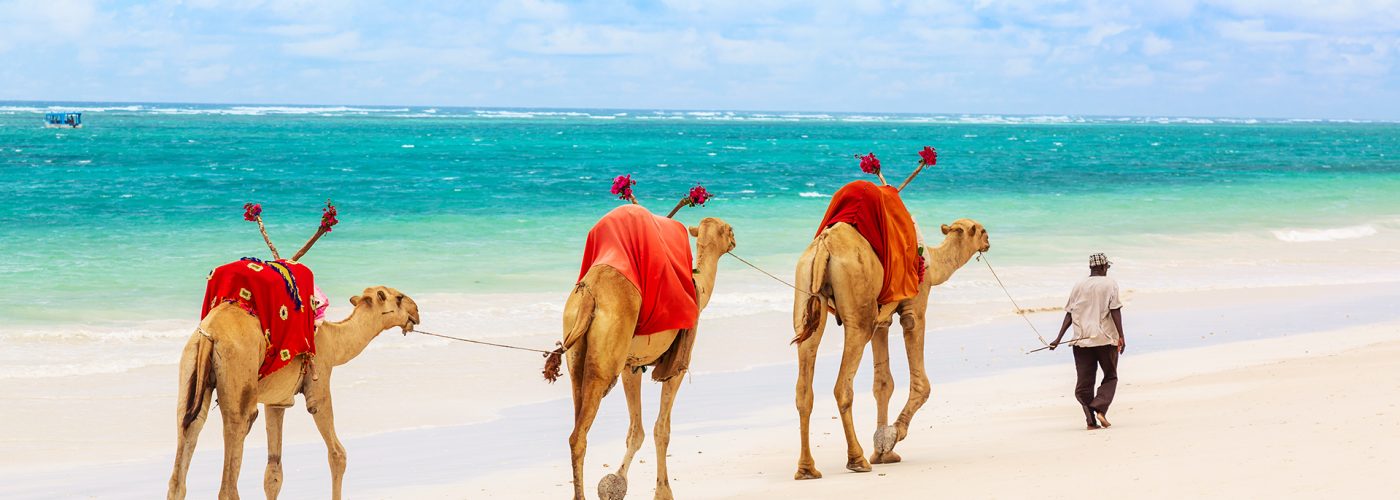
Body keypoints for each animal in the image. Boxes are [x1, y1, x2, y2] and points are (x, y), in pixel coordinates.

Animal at [167, 284, 417, 498]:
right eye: (399, 297)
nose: (416, 311)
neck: (333, 340)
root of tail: (210, 332)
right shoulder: (319, 382)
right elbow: (338, 454)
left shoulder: (276, 402)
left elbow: (273, 473)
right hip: (237, 374)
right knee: (231, 465)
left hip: (192, 366)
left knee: (185, 441)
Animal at [554, 215, 739, 498]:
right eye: (728, 229)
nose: (735, 240)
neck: (699, 286)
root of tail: (589, 294)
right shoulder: (676, 367)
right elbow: (661, 430)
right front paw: (663, 492)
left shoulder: (631, 366)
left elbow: (636, 431)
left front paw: (617, 482)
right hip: (604, 360)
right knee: (579, 435)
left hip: (576, 350)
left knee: (576, 423)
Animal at [795, 215, 991, 476]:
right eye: (982, 230)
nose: (988, 243)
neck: (932, 263)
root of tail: (825, 245)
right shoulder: (915, 305)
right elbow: (921, 384)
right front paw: (892, 436)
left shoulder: (882, 321)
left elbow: (883, 384)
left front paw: (882, 452)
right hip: (859, 311)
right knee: (843, 386)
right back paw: (857, 460)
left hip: (806, 291)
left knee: (804, 384)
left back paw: (807, 469)